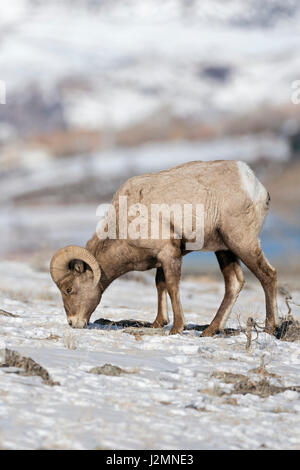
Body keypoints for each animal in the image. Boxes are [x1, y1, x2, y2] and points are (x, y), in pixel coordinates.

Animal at [50, 160, 278, 336]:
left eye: (69, 289)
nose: (73, 323)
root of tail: (254, 185)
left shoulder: (169, 254)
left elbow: (171, 286)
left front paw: (177, 328)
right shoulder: (161, 258)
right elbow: (160, 284)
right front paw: (158, 323)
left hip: (242, 242)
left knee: (267, 275)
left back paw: (269, 328)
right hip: (224, 249)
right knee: (234, 283)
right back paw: (210, 331)